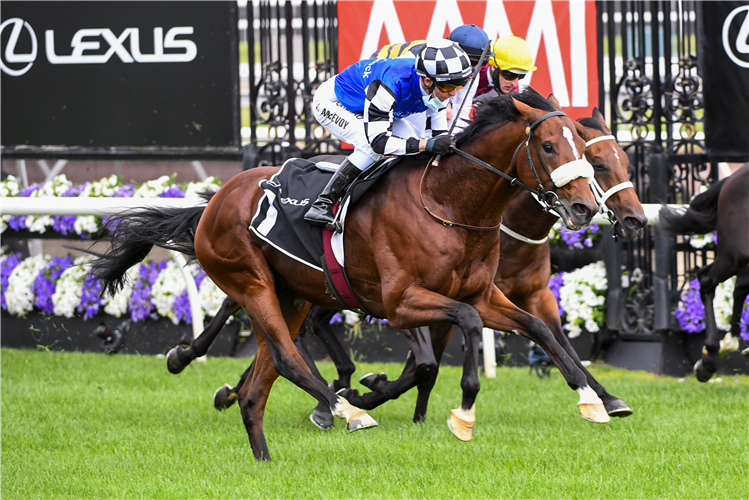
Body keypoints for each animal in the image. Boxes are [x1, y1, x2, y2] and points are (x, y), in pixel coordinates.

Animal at [90, 88, 600, 458]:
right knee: (284, 357)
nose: (585, 207)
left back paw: (264, 452)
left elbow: (537, 326)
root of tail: (216, 199)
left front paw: (591, 399)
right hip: (252, 282)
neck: (449, 204)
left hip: (292, 295)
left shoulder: (481, 294)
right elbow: (466, 328)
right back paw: (344, 409)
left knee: (262, 380)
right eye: (548, 146)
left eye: (583, 146)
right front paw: (463, 414)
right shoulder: (400, 304)